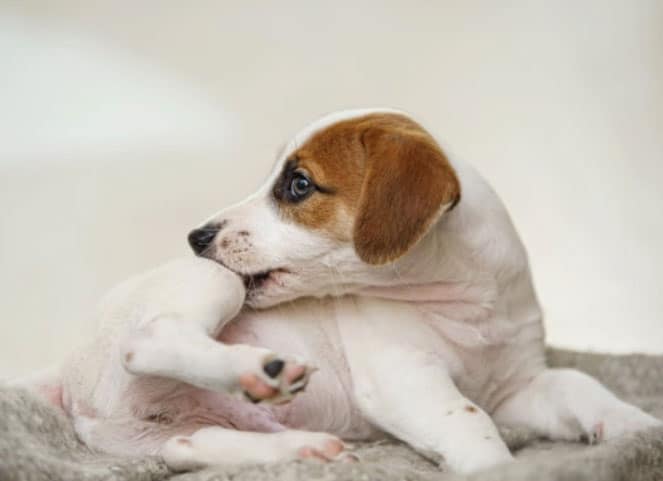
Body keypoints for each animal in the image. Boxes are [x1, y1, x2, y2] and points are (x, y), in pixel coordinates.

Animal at [18, 108, 660, 472]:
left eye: (299, 185)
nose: (197, 236)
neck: (465, 303)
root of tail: (65, 374)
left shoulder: (519, 387)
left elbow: (580, 385)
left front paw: (635, 428)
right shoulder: (405, 378)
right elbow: (468, 418)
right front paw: (495, 466)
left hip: (161, 435)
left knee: (188, 449)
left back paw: (303, 449)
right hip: (210, 284)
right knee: (148, 341)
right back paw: (259, 370)